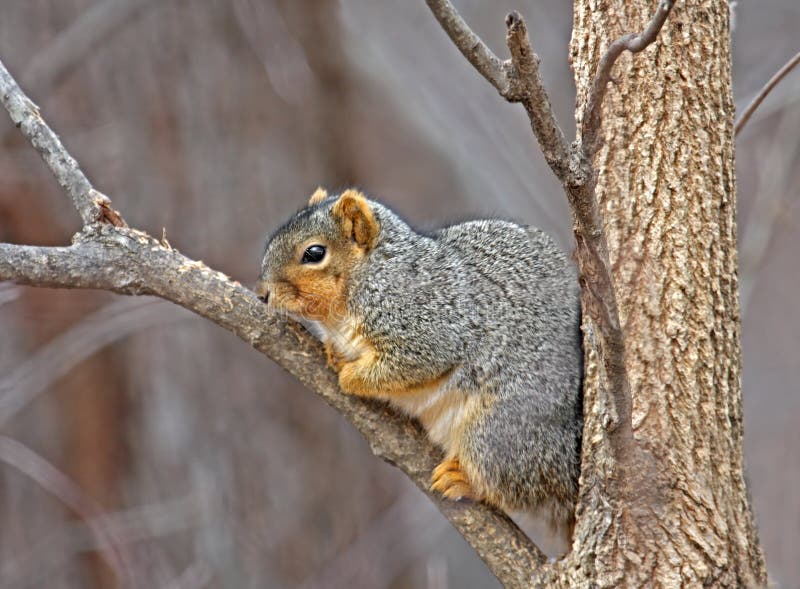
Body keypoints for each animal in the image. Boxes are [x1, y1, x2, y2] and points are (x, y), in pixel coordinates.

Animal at [260, 188, 584, 544]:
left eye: (314, 253)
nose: (263, 293)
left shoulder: (428, 327)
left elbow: (410, 366)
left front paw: (350, 376)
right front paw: (335, 355)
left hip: (499, 432)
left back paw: (464, 481)